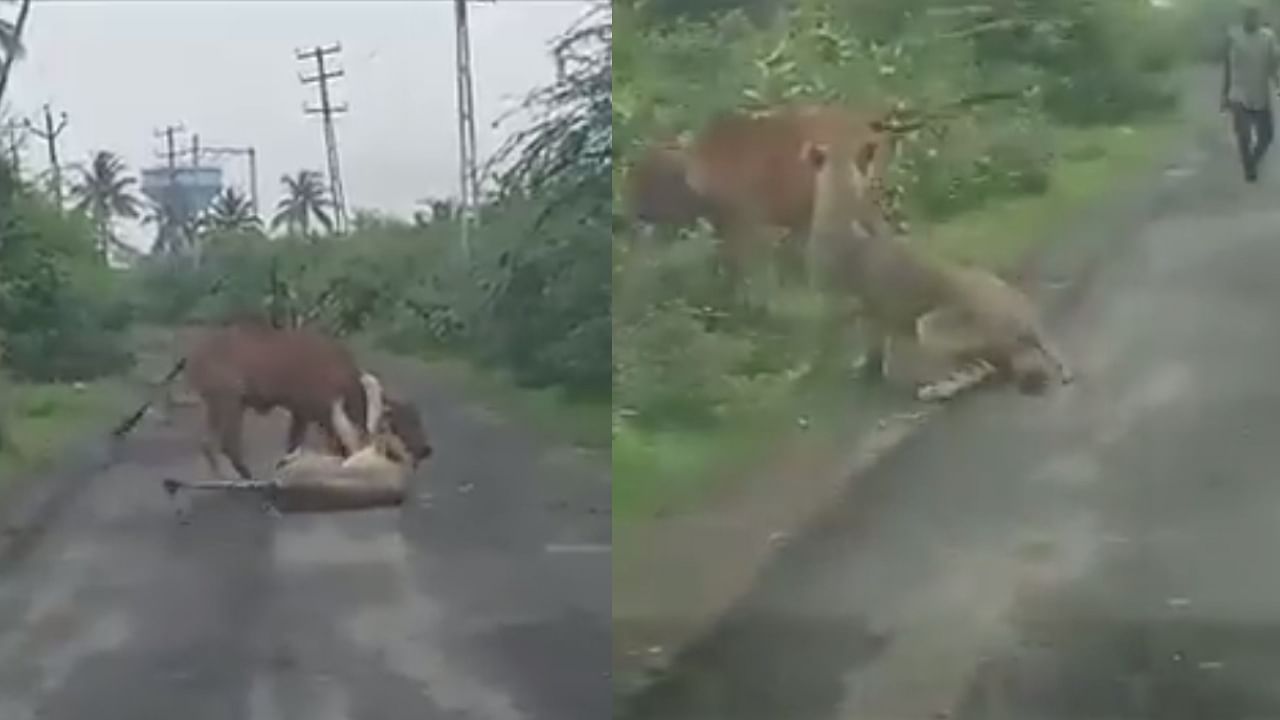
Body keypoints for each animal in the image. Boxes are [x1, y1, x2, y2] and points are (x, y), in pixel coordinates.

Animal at [184, 317, 435, 476]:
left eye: (418, 418)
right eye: (401, 421)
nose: (426, 449)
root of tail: (195, 355)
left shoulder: (305, 415)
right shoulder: (316, 416)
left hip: (224, 405)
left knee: (210, 444)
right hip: (229, 403)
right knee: (226, 445)